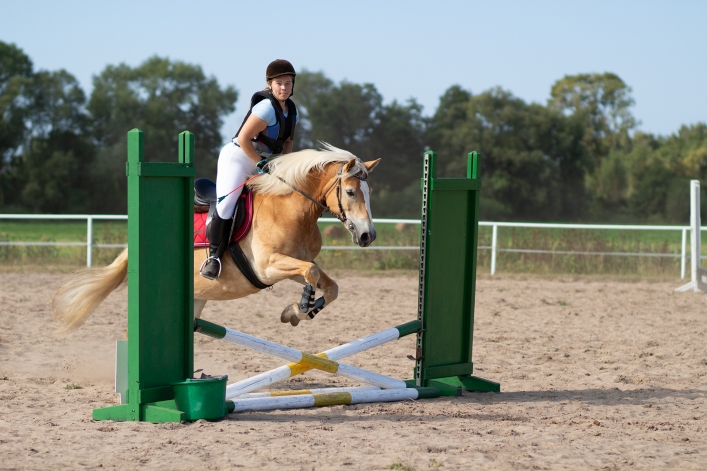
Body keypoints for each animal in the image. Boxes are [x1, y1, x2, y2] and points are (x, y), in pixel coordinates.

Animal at [52, 143, 380, 332]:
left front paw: (301, 311)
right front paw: (299, 307)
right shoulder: (268, 266)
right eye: (350, 192)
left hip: (197, 297)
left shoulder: (294, 263)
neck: (291, 208)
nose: (368, 235)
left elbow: (330, 286)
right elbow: (311, 273)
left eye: (369, 192)